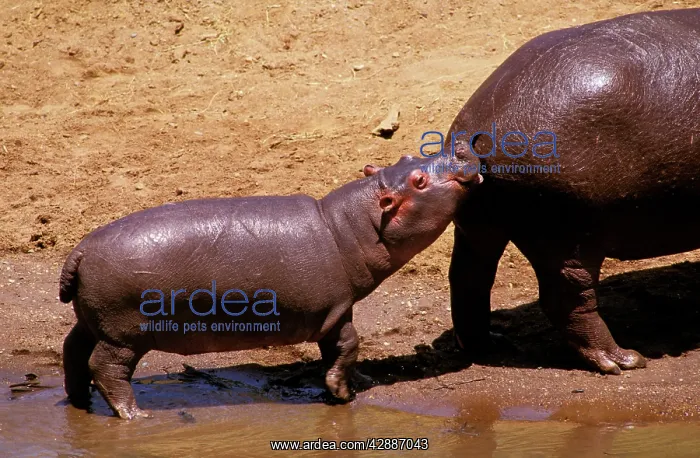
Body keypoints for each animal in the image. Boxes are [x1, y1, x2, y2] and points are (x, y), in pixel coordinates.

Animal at [59, 154, 480, 419]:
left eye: (409, 156)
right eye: (419, 180)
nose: (460, 152)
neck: (350, 226)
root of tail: (79, 249)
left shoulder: (332, 310)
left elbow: (338, 349)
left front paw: (360, 380)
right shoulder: (335, 307)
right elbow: (348, 345)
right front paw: (343, 394)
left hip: (93, 320)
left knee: (73, 350)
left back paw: (81, 401)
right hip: (124, 334)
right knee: (106, 368)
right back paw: (135, 416)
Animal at [443, 9, 700, 374]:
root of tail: (475, 129)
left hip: (480, 225)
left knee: (469, 279)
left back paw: (488, 345)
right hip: (570, 233)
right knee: (567, 298)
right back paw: (622, 360)